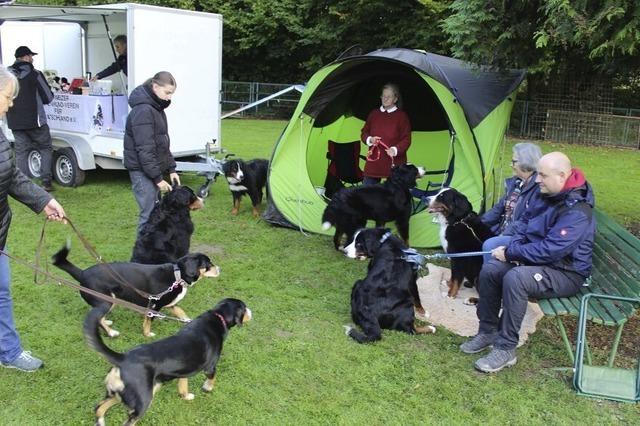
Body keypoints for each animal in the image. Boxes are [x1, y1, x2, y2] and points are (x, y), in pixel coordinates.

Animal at [53, 243, 218, 336]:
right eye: (208, 264)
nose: (220, 269)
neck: (177, 275)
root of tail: (82, 273)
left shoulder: (172, 304)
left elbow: (181, 312)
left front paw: (189, 321)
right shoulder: (153, 305)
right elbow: (148, 322)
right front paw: (147, 334)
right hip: (107, 301)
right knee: (98, 319)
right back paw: (111, 333)